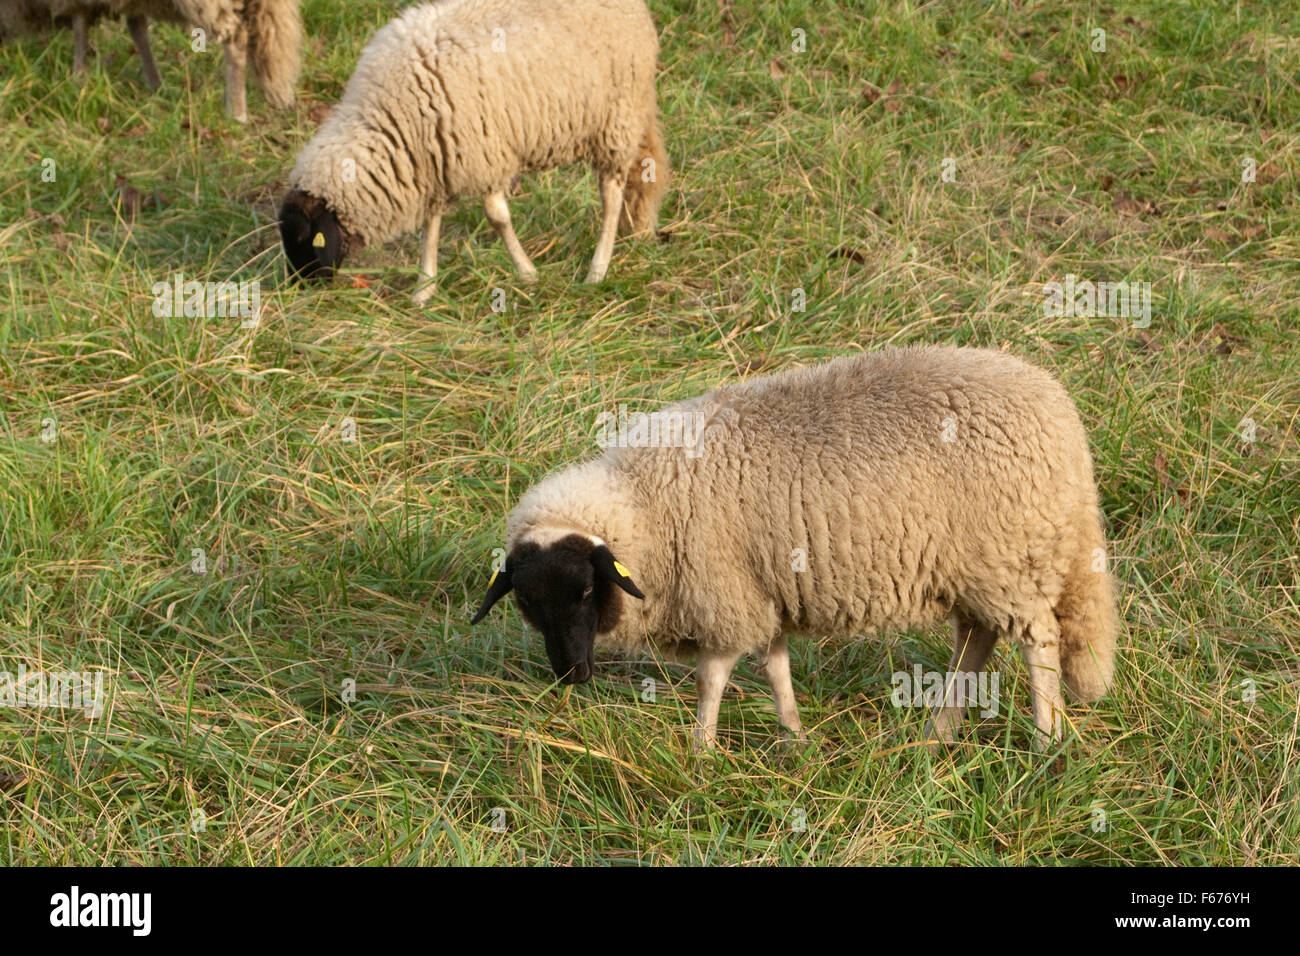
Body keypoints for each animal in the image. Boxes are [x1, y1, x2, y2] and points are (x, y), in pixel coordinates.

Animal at [280, 0, 676, 303]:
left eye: (305, 239)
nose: (302, 289)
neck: (387, 120)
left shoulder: (485, 152)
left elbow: (496, 217)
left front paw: (528, 274)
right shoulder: (434, 160)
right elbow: (431, 224)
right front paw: (424, 289)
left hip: (615, 118)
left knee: (611, 193)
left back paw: (598, 269)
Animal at [473, 348, 1123, 749]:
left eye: (587, 589)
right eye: (527, 604)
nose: (571, 676)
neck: (644, 503)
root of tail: (1059, 410)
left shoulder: (724, 594)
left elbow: (713, 677)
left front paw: (701, 750)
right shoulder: (761, 588)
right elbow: (776, 665)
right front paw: (795, 739)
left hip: (1010, 559)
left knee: (1040, 640)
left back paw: (1045, 738)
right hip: (976, 570)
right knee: (976, 640)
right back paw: (938, 732)